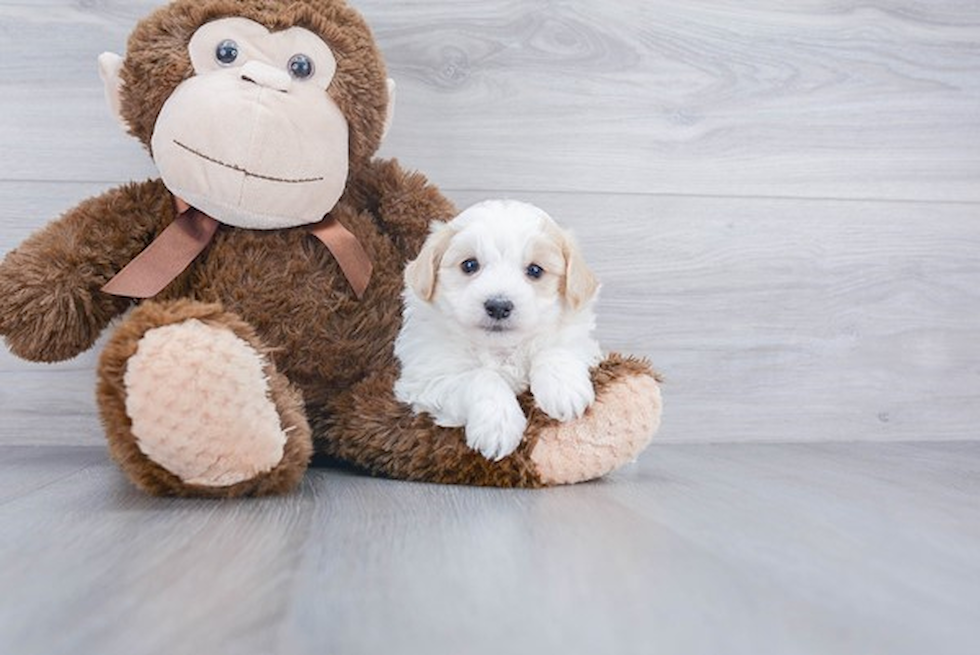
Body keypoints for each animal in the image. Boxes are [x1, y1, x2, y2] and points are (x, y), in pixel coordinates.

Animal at [394, 200, 600, 462]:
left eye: (535, 270)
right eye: (469, 265)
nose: (499, 306)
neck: (501, 349)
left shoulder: (581, 341)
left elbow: (554, 349)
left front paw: (563, 389)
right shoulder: (427, 378)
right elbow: (482, 377)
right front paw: (498, 425)